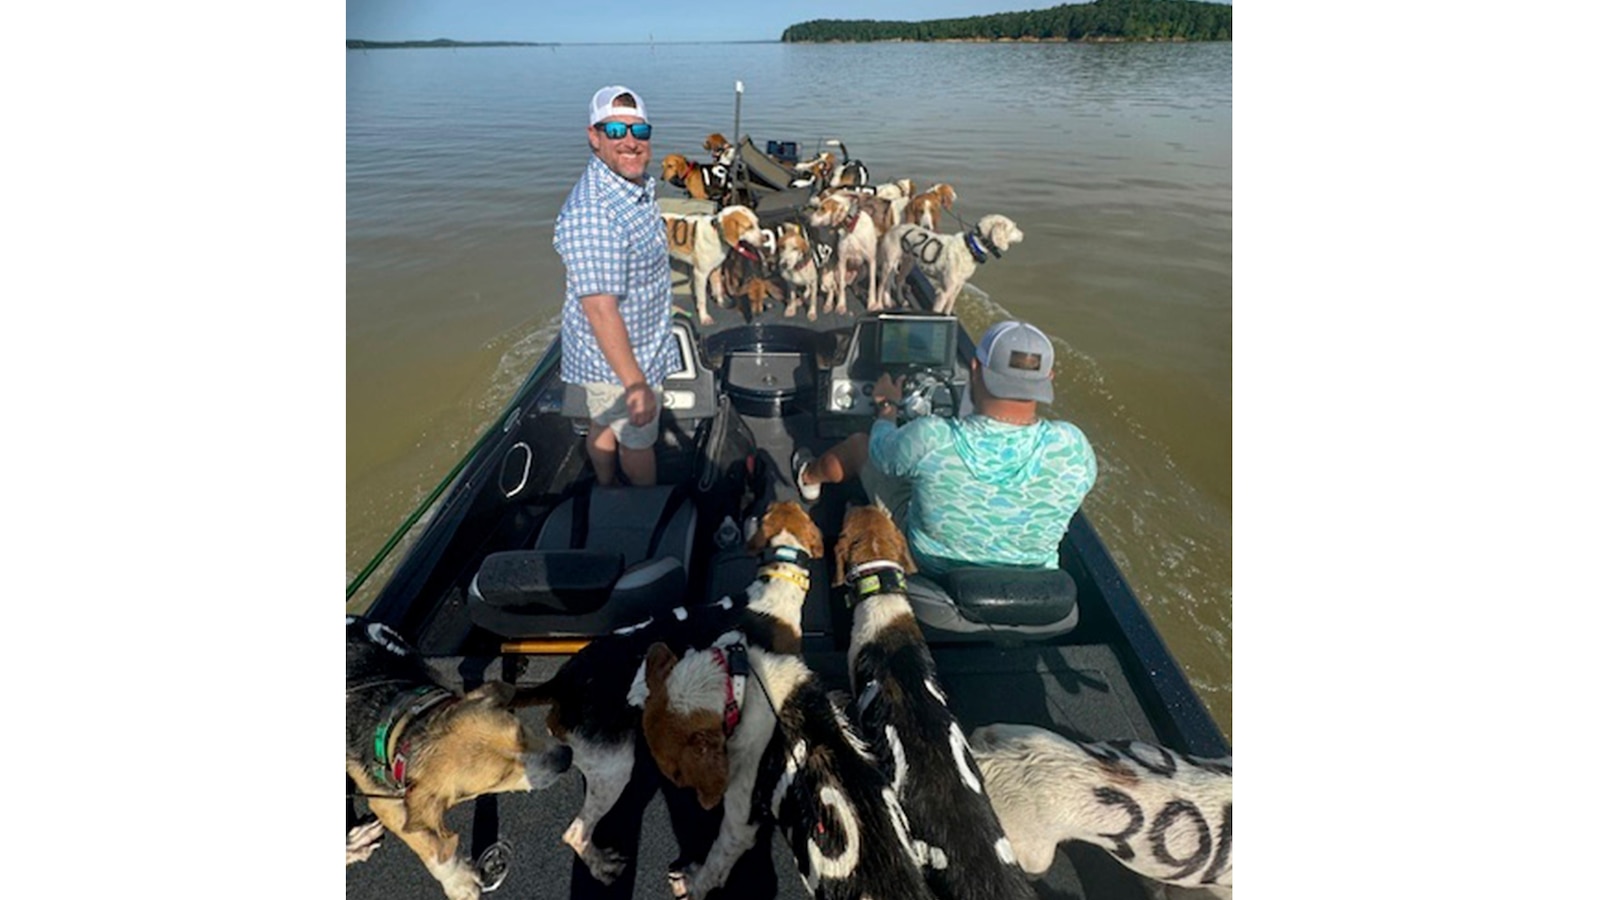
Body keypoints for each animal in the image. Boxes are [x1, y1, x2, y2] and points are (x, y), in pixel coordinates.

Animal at [347, 611, 579, 890]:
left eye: (521, 731)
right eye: (500, 778)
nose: (566, 757)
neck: (409, 723)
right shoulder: (386, 803)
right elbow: (428, 845)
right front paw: (459, 884)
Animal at [876, 212, 1024, 315]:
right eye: (1014, 227)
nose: (1024, 235)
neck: (970, 248)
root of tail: (894, 227)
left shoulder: (956, 288)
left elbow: (948, 309)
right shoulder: (944, 292)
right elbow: (937, 312)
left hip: (907, 263)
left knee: (899, 280)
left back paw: (900, 300)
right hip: (889, 264)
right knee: (883, 285)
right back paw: (882, 303)